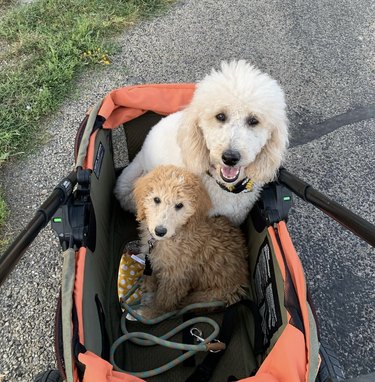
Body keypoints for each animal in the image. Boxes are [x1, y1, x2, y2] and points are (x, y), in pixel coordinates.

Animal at [134, 165, 251, 316]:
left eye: (179, 205)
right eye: (156, 199)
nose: (160, 231)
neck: (179, 232)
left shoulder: (175, 277)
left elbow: (165, 301)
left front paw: (151, 313)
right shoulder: (153, 258)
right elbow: (151, 273)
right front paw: (148, 285)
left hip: (205, 297)